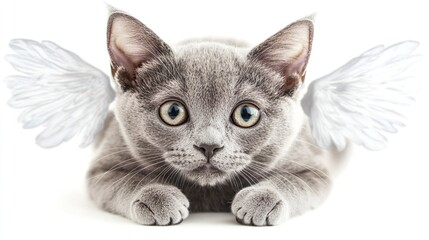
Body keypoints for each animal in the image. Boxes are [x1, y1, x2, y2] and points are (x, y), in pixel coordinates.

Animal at [86, 9, 334, 227]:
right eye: (173, 111)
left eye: (246, 114)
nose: (209, 146)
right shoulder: (104, 163)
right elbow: (128, 180)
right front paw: (158, 197)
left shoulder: (312, 166)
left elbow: (292, 180)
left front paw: (261, 199)